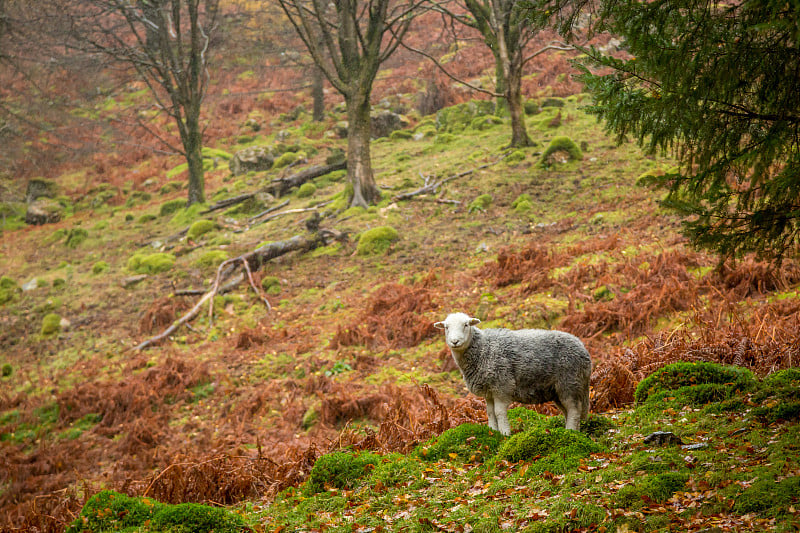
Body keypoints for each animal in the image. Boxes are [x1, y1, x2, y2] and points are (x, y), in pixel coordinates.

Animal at [434, 312, 592, 432]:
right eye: (446, 327)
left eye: (466, 325)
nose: (455, 341)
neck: (483, 348)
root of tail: (583, 349)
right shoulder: (489, 391)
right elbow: (490, 412)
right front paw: (493, 432)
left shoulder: (502, 385)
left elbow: (499, 412)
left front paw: (505, 433)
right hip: (558, 390)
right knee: (569, 411)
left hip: (569, 382)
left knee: (574, 410)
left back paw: (570, 432)